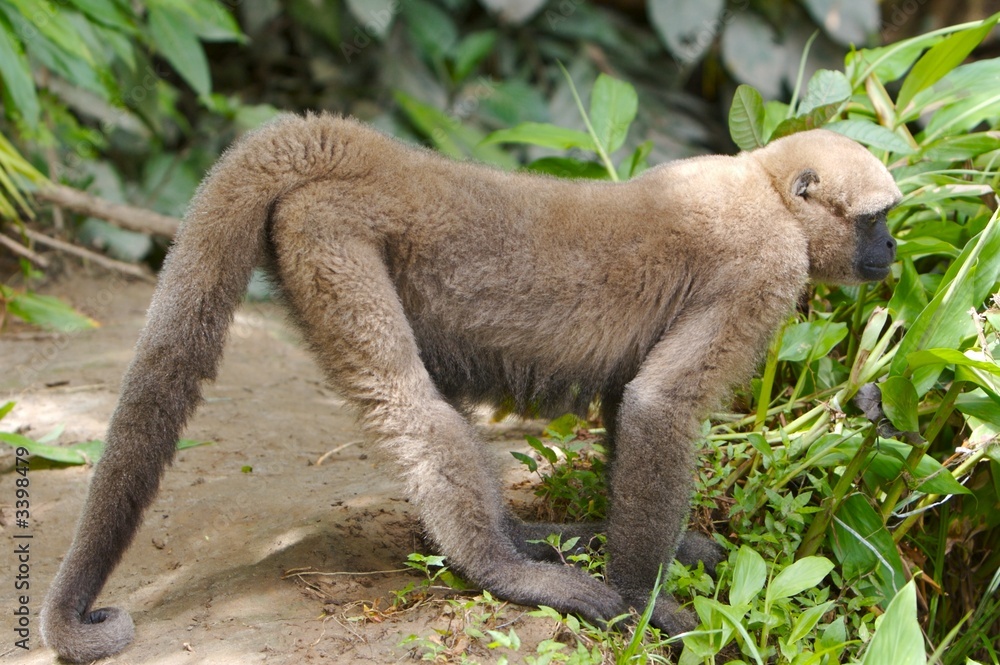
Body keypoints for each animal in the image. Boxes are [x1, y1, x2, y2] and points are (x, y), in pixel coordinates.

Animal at [40, 114, 900, 662]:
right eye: (874, 220)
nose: (893, 250)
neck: (764, 182)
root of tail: (389, 158)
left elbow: (630, 398)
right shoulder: (765, 266)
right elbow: (660, 404)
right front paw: (646, 600)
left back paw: (537, 540)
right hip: (329, 232)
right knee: (408, 400)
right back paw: (505, 567)